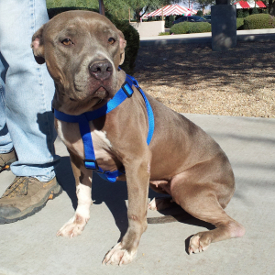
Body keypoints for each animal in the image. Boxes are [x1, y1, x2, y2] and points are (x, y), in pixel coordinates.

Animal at [31, 10, 245, 268]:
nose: (102, 68)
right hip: (159, 179)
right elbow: (82, 195)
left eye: (111, 40)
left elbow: (133, 212)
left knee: (233, 224)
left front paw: (126, 247)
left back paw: (201, 237)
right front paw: (77, 223)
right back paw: (159, 202)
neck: (81, 110)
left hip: (186, 187)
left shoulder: (136, 161)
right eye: (66, 41)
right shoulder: (78, 159)